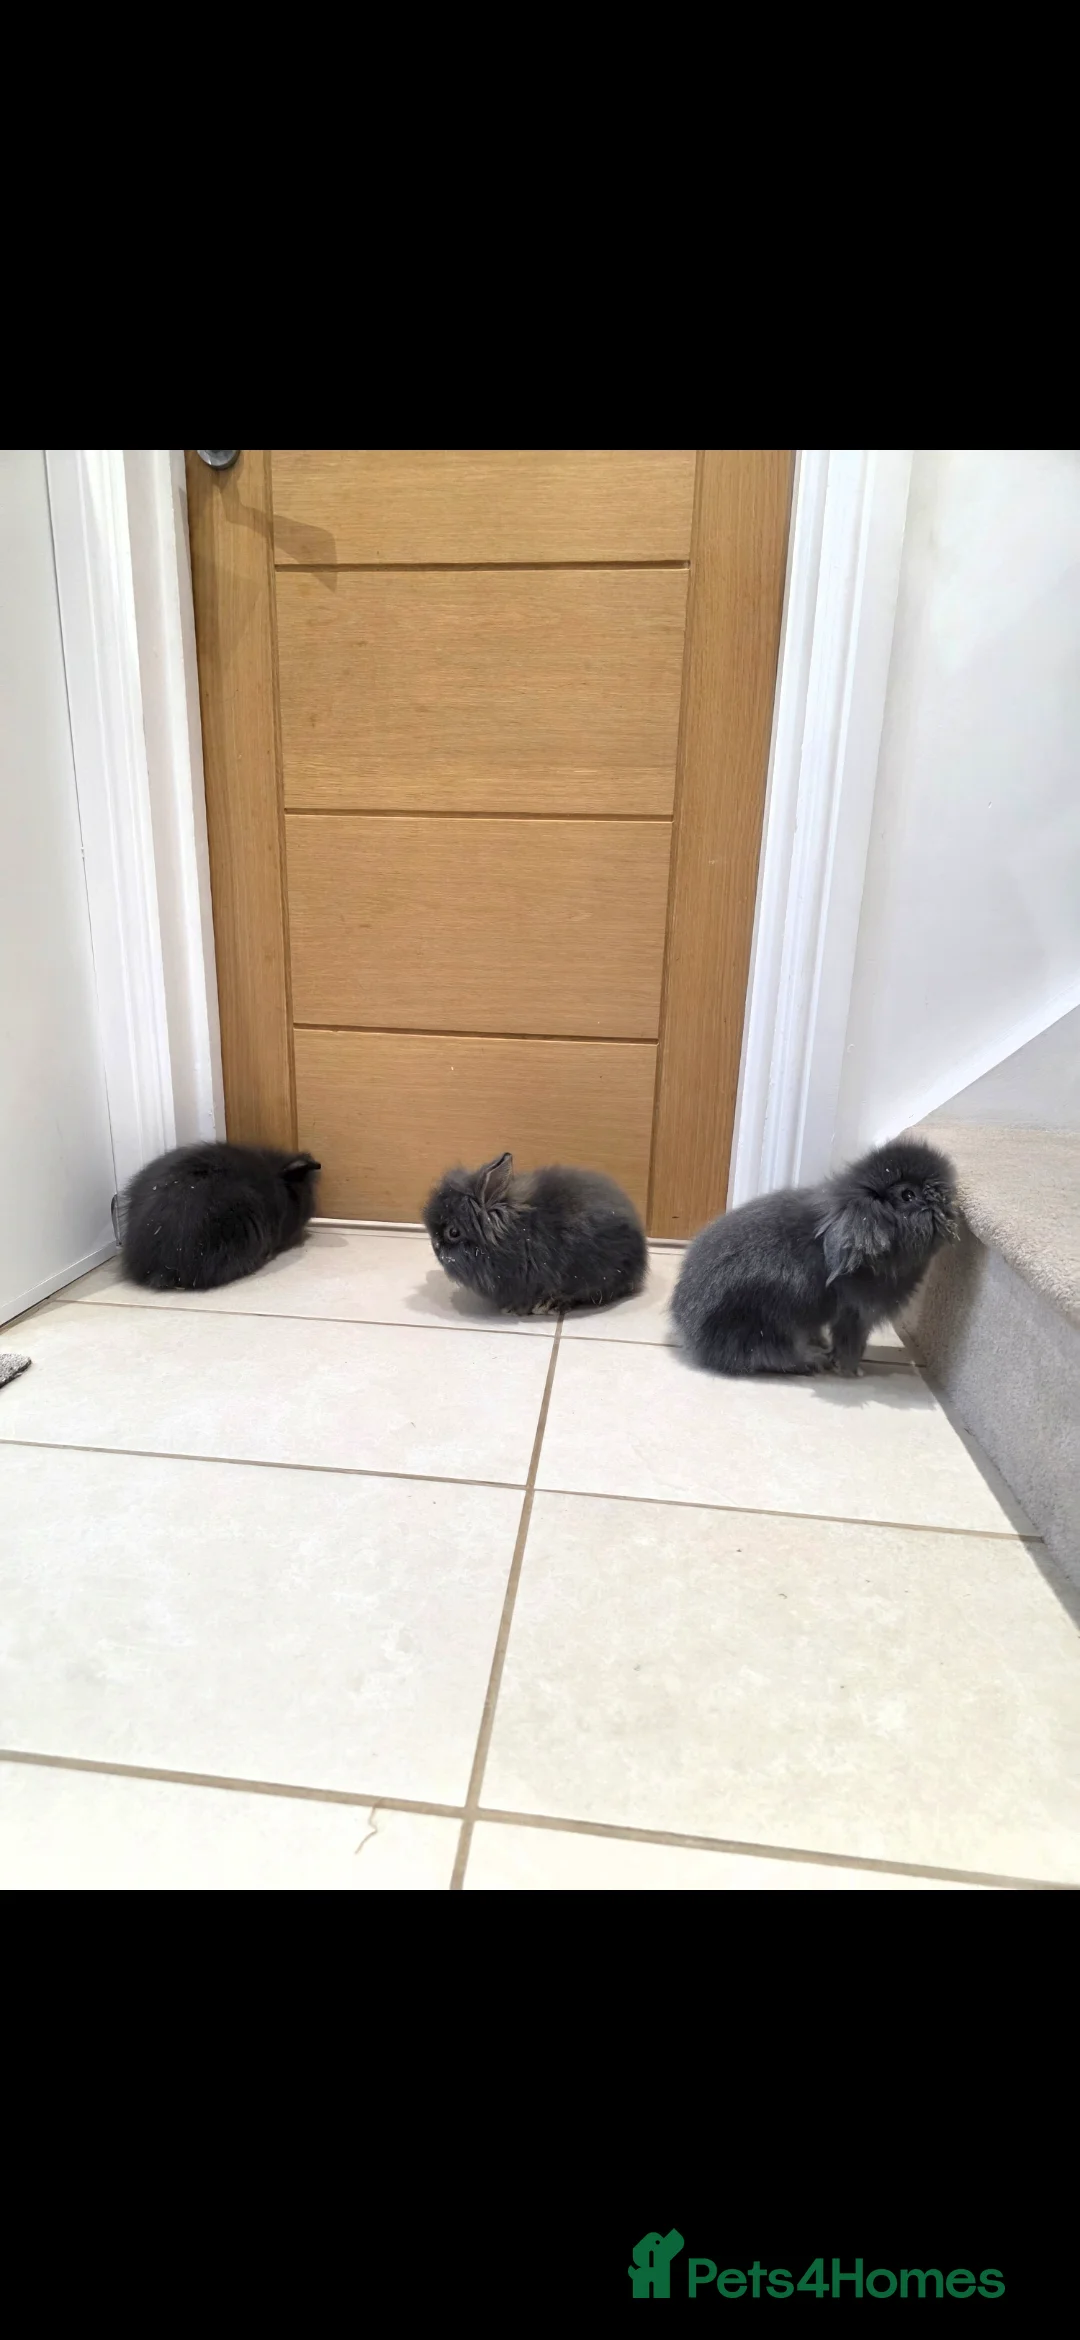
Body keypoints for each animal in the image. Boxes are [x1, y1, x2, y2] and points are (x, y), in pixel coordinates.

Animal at [671, 1137, 958, 1377]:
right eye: (908, 1195)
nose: (942, 1194)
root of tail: (687, 1323)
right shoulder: (856, 1313)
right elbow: (852, 1343)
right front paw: (852, 1371)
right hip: (768, 1325)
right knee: (769, 1355)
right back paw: (811, 1362)